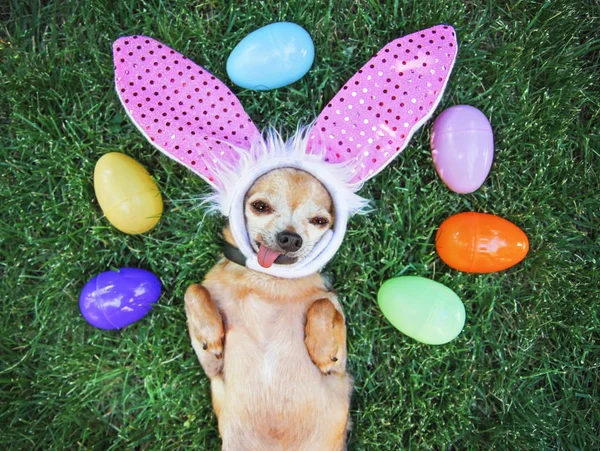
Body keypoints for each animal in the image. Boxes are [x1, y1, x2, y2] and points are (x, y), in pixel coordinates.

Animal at [183, 168, 352, 450]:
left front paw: (321, 350)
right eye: (260, 207)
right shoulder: (212, 367)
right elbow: (193, 289)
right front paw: (210, 333)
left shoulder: (338, 369)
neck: (267, 279)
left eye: (319, 221)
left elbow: (323, 304)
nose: (291, 238)